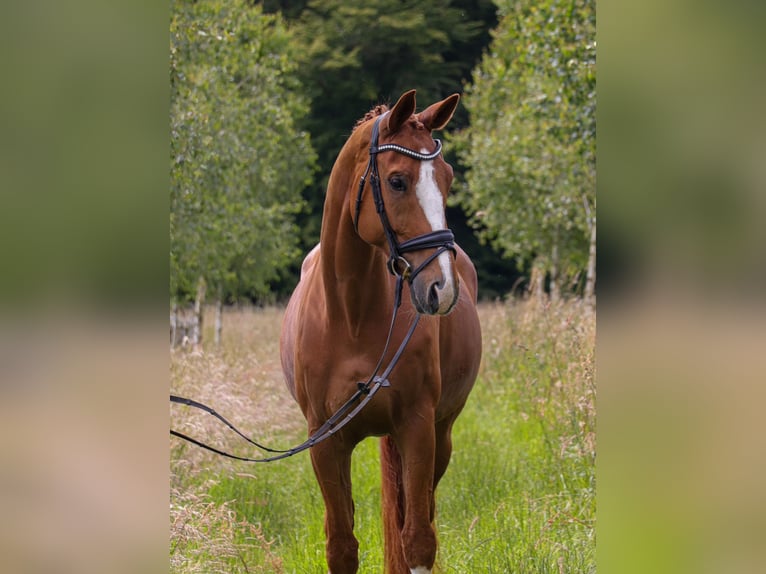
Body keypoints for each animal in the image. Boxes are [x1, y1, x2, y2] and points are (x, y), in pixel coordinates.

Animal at [282, 91, 484, 574]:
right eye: (396, 181)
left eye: (448, 179)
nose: (442, 288)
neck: (351, 315)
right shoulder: (325, 442)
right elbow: (341, 545)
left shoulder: (417, 428)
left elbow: (418, 541)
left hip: (441, 436)